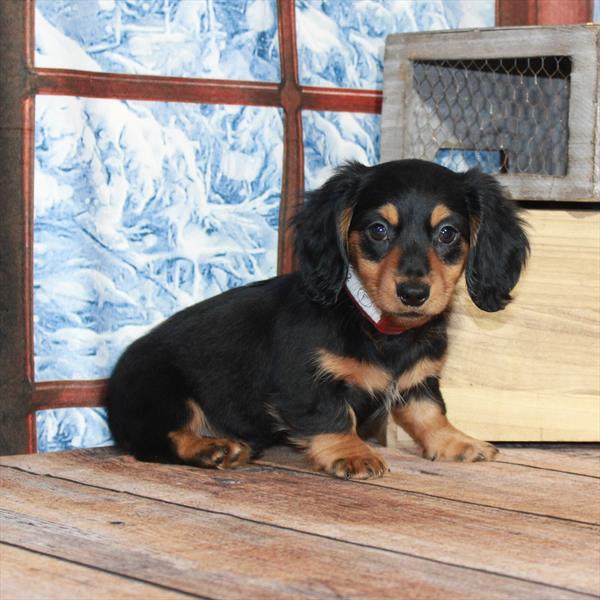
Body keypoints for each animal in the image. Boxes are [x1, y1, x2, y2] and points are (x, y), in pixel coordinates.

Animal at [106, 159, 529, 479]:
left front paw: (455, 441)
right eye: (378, 230)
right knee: (155, 441)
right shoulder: (302, 379)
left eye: (448, 233)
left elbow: (429, 412)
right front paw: (352, 452)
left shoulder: (419, 379)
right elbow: (331, 414)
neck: (378, 326)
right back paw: (211, 448)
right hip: (163, 390)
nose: (413, 293)